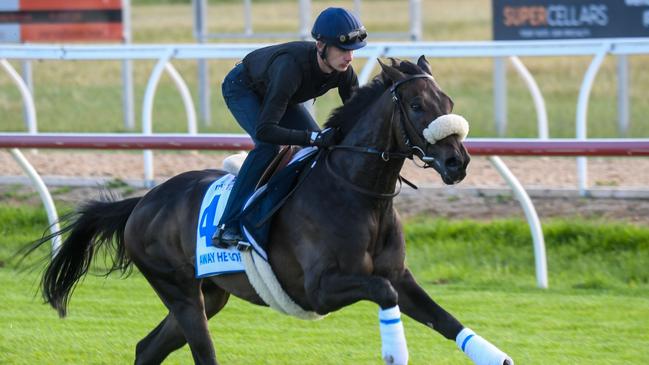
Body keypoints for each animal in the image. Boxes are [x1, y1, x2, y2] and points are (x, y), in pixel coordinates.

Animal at [25, 57, 512, 364]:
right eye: (416, 105)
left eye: (449, 104)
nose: (458, 162)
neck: (357, 193)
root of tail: (143, 202)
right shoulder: (320, 288)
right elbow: (385, 295)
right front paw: (396, 352)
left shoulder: (399, 276)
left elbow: (445, 318)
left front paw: (496, 355)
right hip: (179, 290)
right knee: (202, 352)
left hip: (210, 294)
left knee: (147, 348)